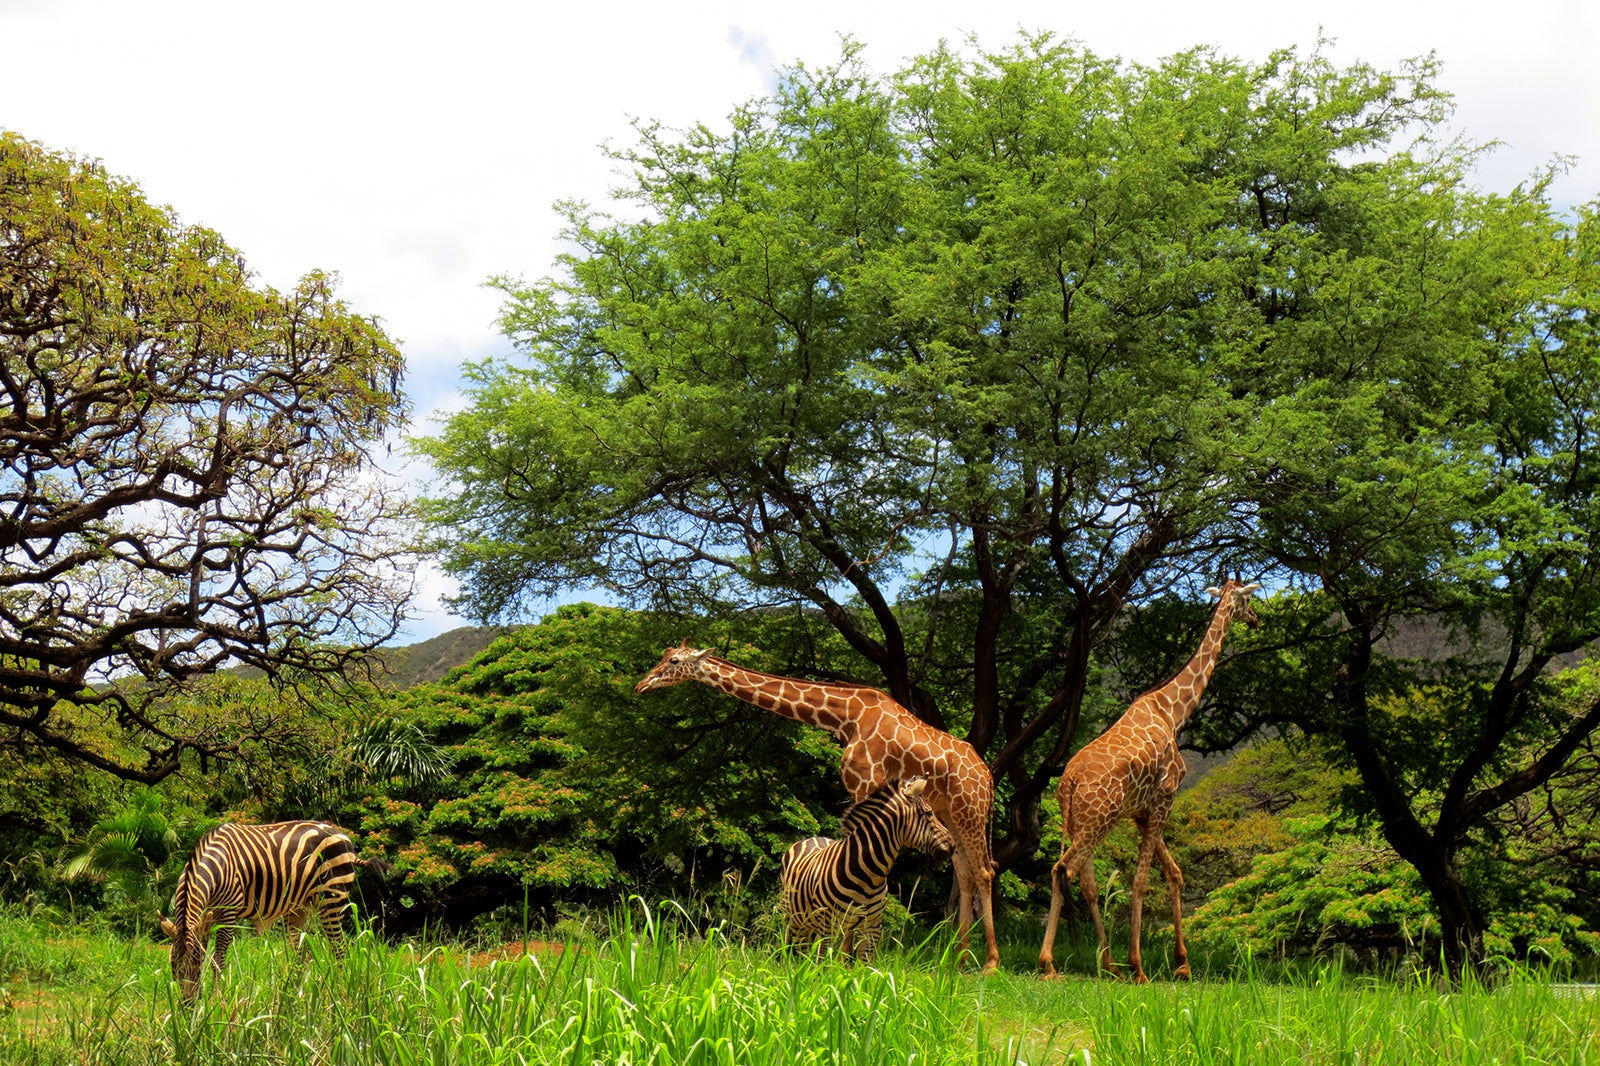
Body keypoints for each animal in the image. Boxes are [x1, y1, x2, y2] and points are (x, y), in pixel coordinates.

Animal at [159, 813, 380, 998]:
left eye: (196, 964)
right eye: (173, 966)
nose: (187, 1005)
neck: (218, 865)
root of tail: (342, 834)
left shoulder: (229, 911)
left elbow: (218, 959)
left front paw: (217, 1001)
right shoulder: (207, 916)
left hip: (332, 897)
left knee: (338, 948)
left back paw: (339, 991)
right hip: (299, 906)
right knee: (299, 953)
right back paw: (292, 995)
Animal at [780, 771, 953, 960]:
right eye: (929, 813)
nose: (953, 846)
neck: (869, 876)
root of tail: (812, 837)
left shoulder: (872, 928)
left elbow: (862, 966)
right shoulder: (826, 925)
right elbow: (820, 964)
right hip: (795, 917)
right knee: (797, 951)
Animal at [1036, 576, 1260, 973]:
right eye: (1248, 600)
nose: (1257, 620)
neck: (1172, 712)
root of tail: (1068, 782)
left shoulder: (1142, 812)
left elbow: (1174, 873)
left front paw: (1182, 963)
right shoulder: (1164, 798)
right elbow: (1141, 881)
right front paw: (1139, 965)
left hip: (1080, 822)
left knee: (1085, 881)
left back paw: (1108, 964)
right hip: (1098, 821)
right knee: (1063, 870)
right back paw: (1051, 963)